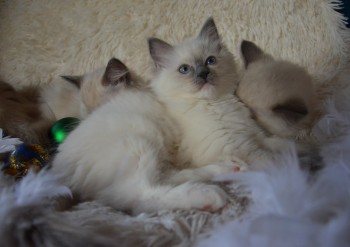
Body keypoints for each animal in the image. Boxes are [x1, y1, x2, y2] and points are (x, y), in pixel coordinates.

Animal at [148, 17, 290, 172]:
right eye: (184, 69)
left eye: (210, 61)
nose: (203, 74)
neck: (216, 104)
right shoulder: (240, 147)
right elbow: (272, 160)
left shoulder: (256, 135)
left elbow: (285, 144)